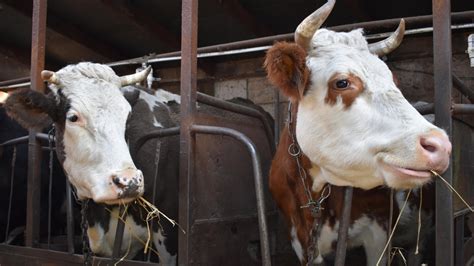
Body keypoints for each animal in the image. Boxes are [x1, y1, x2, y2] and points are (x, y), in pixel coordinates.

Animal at [264, 1, 450, 264]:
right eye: (342, 82)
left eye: (394, 81)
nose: (440, 145)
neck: (314, 194)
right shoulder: (299, 240)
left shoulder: (378, 233)